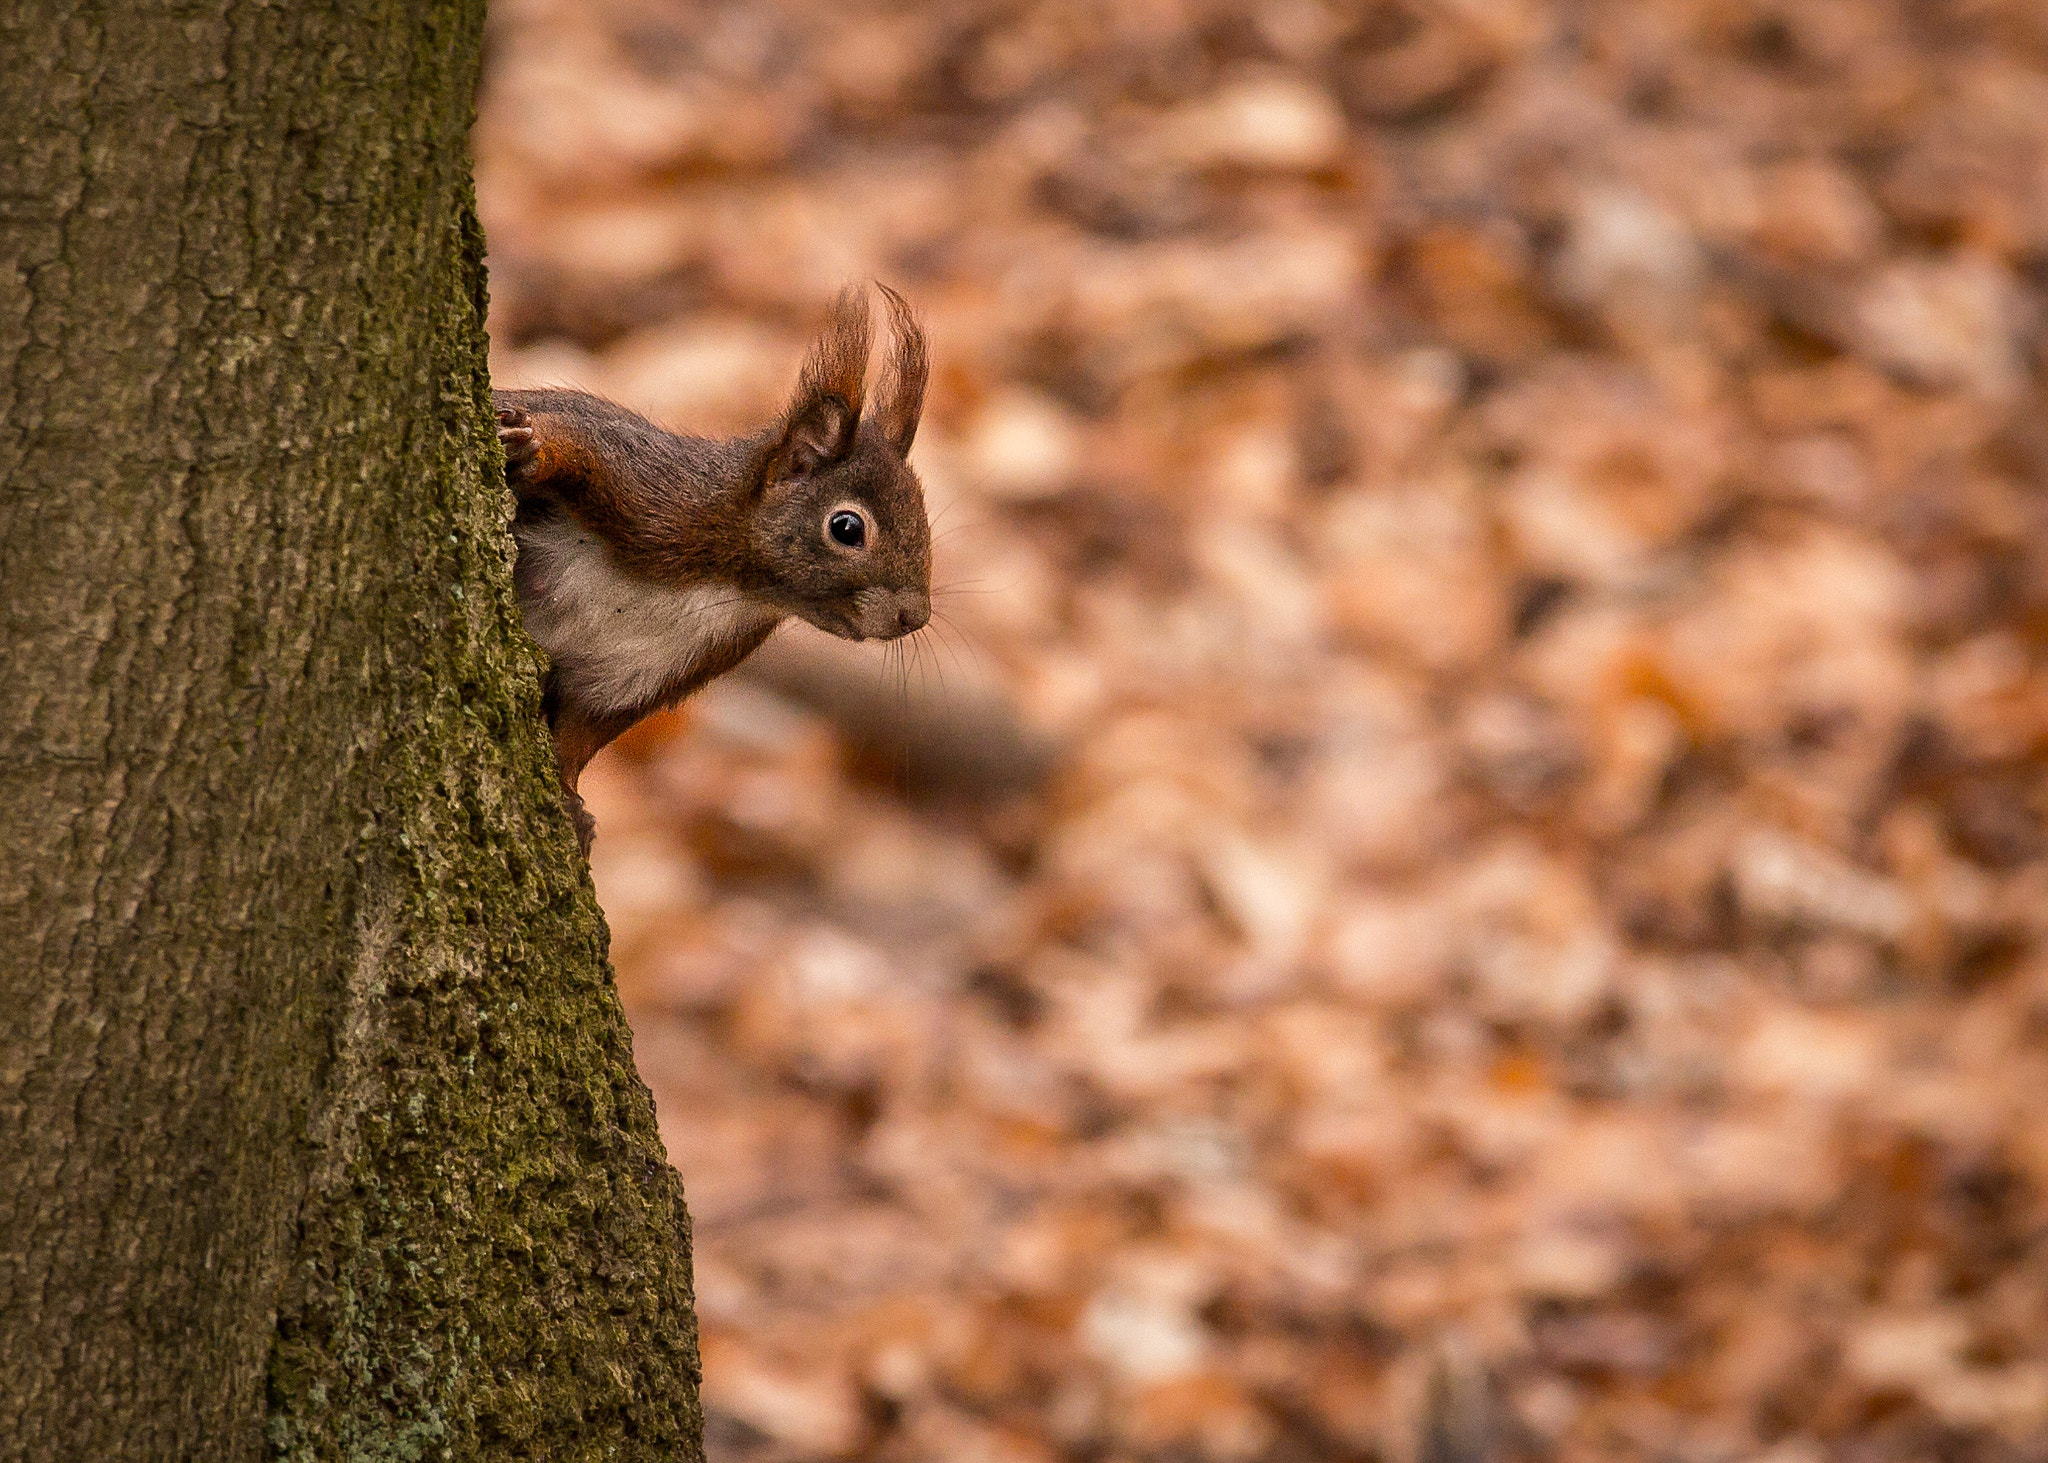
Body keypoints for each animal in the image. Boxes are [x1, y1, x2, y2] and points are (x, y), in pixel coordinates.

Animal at [493, 282, 931, 853]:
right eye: (847, 528)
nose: (915, 616)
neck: (727, 583)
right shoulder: (653, 491)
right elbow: (580, 447)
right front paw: (536, 445)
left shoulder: (656, 668)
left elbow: (582, 731)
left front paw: (570, 800)